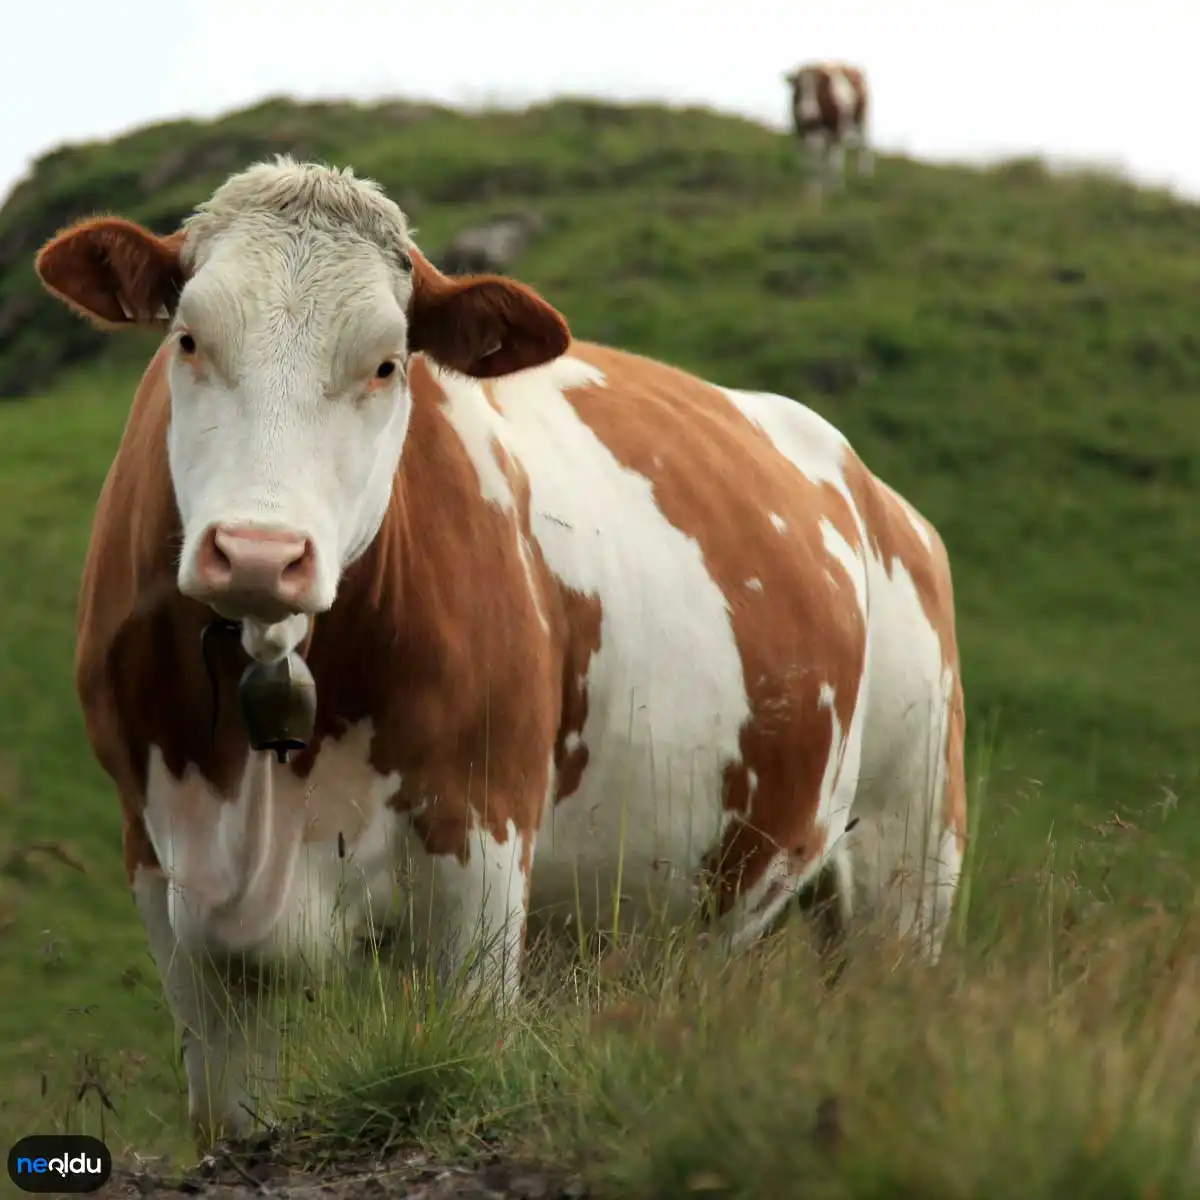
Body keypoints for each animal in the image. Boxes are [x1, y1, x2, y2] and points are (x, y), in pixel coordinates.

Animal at [32, 157, 964, 1142]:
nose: (257, 552)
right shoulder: (164, 867)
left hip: (909, 853)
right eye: (188, 339)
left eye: (386, 363)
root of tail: (877, 492)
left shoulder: (480, 843)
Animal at [782, 60, 878, 195]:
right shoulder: (802, 133)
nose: (808, 112)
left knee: (863, 147)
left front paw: (835, 190)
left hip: (862, 120)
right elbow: (810, 163)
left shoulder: (837, 130)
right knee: (825, 156)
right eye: (798, 87)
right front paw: (811, 191)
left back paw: (865, 178)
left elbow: (834, 163)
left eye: (819, 87)